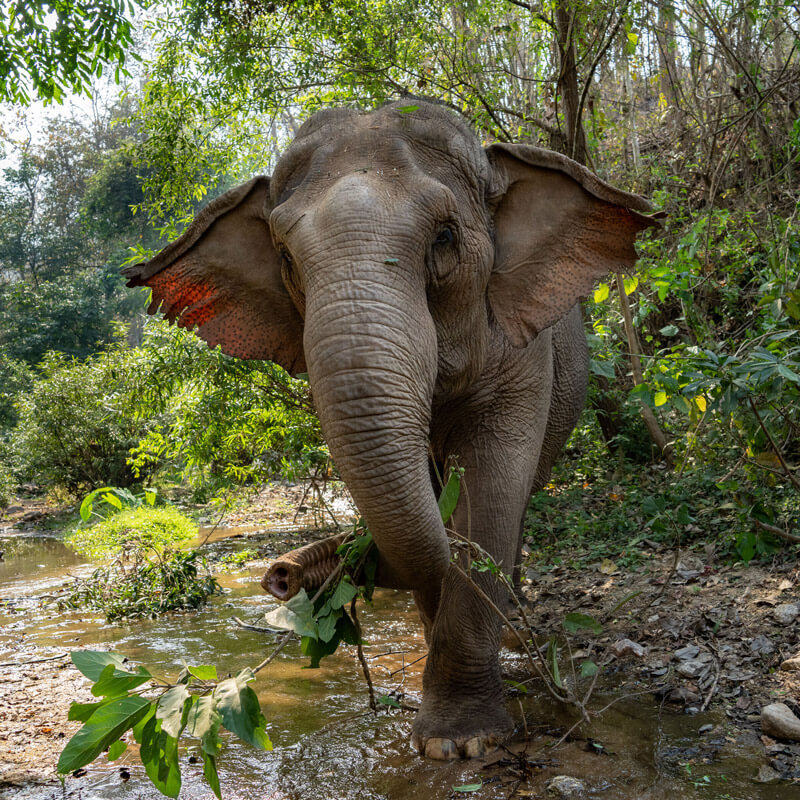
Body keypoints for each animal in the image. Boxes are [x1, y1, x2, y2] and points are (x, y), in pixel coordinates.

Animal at [123, 100, 659, 761]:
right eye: (286, 258)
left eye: (445, 237)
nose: (280, 575)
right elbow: (430, 510)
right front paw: (444, 706)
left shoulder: (523, 354)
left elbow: (490, 491)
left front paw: (460, 744)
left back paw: (511, 626)